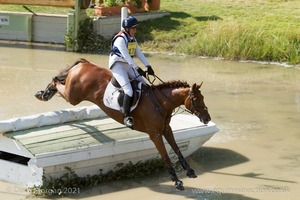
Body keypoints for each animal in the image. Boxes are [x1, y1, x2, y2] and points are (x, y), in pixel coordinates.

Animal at [34, 58, 211, 191]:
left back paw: (45, 94)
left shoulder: (166, 129)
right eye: (196, 100)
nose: (207, 118)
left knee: (58, 81)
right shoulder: (155, 134)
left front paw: (189, 170)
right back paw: (44, 94)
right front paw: (176, 181)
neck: (160, 103)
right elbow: (165, 155)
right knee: (56, 81)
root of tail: (84, 64)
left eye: (203, 98)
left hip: (73, 94)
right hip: (73, 96)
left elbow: (177, 148)